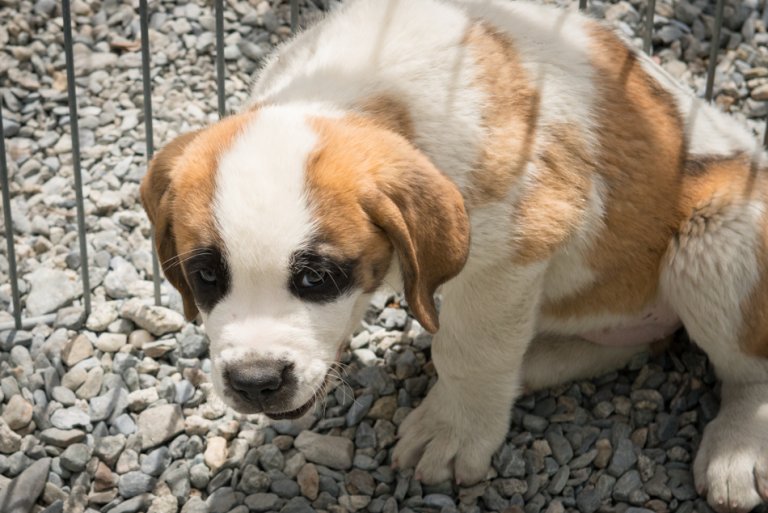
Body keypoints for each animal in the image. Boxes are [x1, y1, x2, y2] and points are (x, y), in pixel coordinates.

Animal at [141, 2, 768, 510]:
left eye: (317, 277)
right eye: (205, 275)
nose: (255, 381)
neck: (354, 90)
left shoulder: (511, 253)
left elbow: (471, 349)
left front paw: (453, 432)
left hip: (717, 237)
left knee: (748, 368)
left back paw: (738, 450)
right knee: (635, 343)